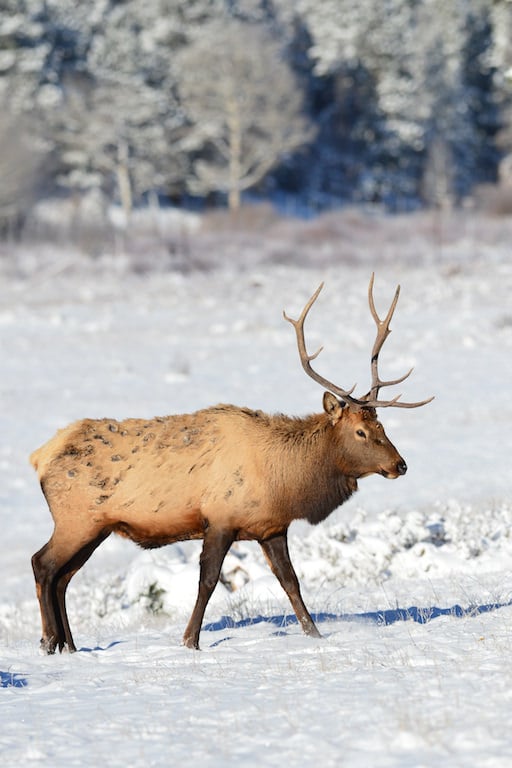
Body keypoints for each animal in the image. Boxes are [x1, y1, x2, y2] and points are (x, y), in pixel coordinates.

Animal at [31, 272, 432, 652]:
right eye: (360, 432)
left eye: (381, 425)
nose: (400, 465)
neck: (286, 480)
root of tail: (40, 455)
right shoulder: (220, 518)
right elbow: (208, 582)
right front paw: (190, 641)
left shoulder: (271, 527)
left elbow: (291, 582)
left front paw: (315, 634)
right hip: (76, 520)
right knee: (43, 565)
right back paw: (50, 641)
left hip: (96, 527)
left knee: (63, 577)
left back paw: (70, 645)